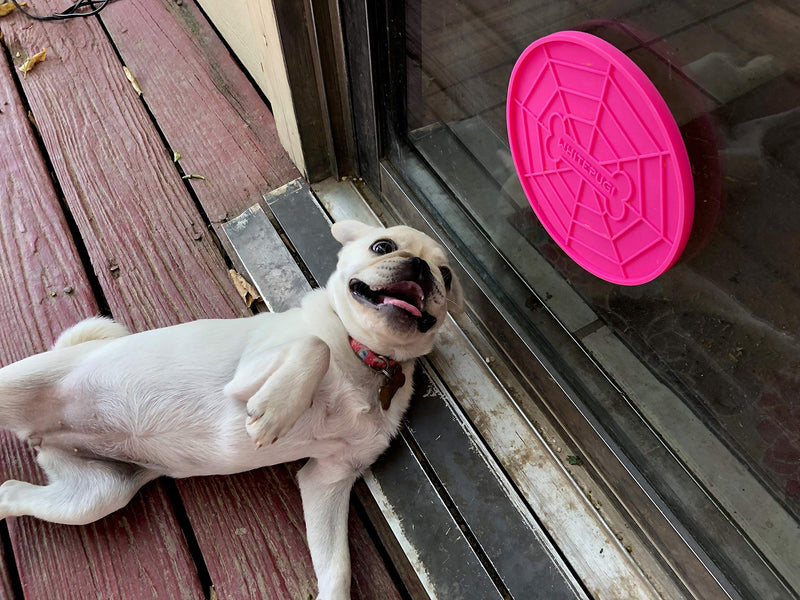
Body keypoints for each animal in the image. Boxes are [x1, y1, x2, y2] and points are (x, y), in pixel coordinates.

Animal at [0, 220, 462, 600]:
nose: (420, 266)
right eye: (382, 246)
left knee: (11, 492)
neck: (366, 356)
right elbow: (315, 347)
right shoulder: (246, 377)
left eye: (446, 274)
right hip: (17, 391)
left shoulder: (328, 479)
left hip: (97, 495)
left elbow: (336, 568)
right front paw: (276, 411)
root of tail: (40, 434)